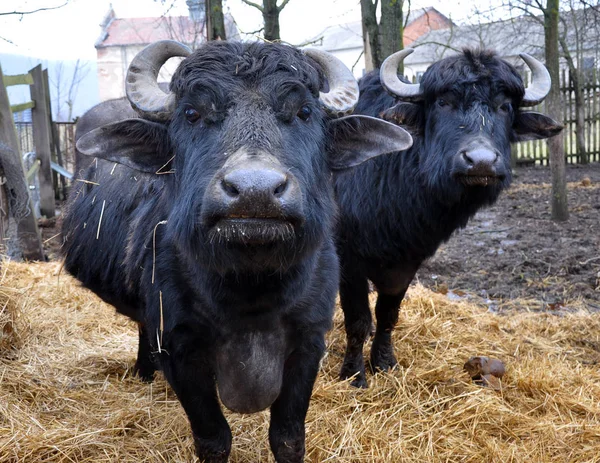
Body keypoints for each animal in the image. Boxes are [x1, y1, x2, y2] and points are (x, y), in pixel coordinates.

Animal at [61, 40, 410, 463]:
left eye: (303, 112)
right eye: (192, 113)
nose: (254, 191)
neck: (251, 292)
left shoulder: (309, 343)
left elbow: (288, 437)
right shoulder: (180, 349)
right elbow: (214, 439)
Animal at [332, 48, 564, 388]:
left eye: (505, 106)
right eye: (444, 103)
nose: (481, 162)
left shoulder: (407, 261)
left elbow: (388, 314)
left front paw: (385, 363)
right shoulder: (348, 260)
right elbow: (358, 319)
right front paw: (353, 375)